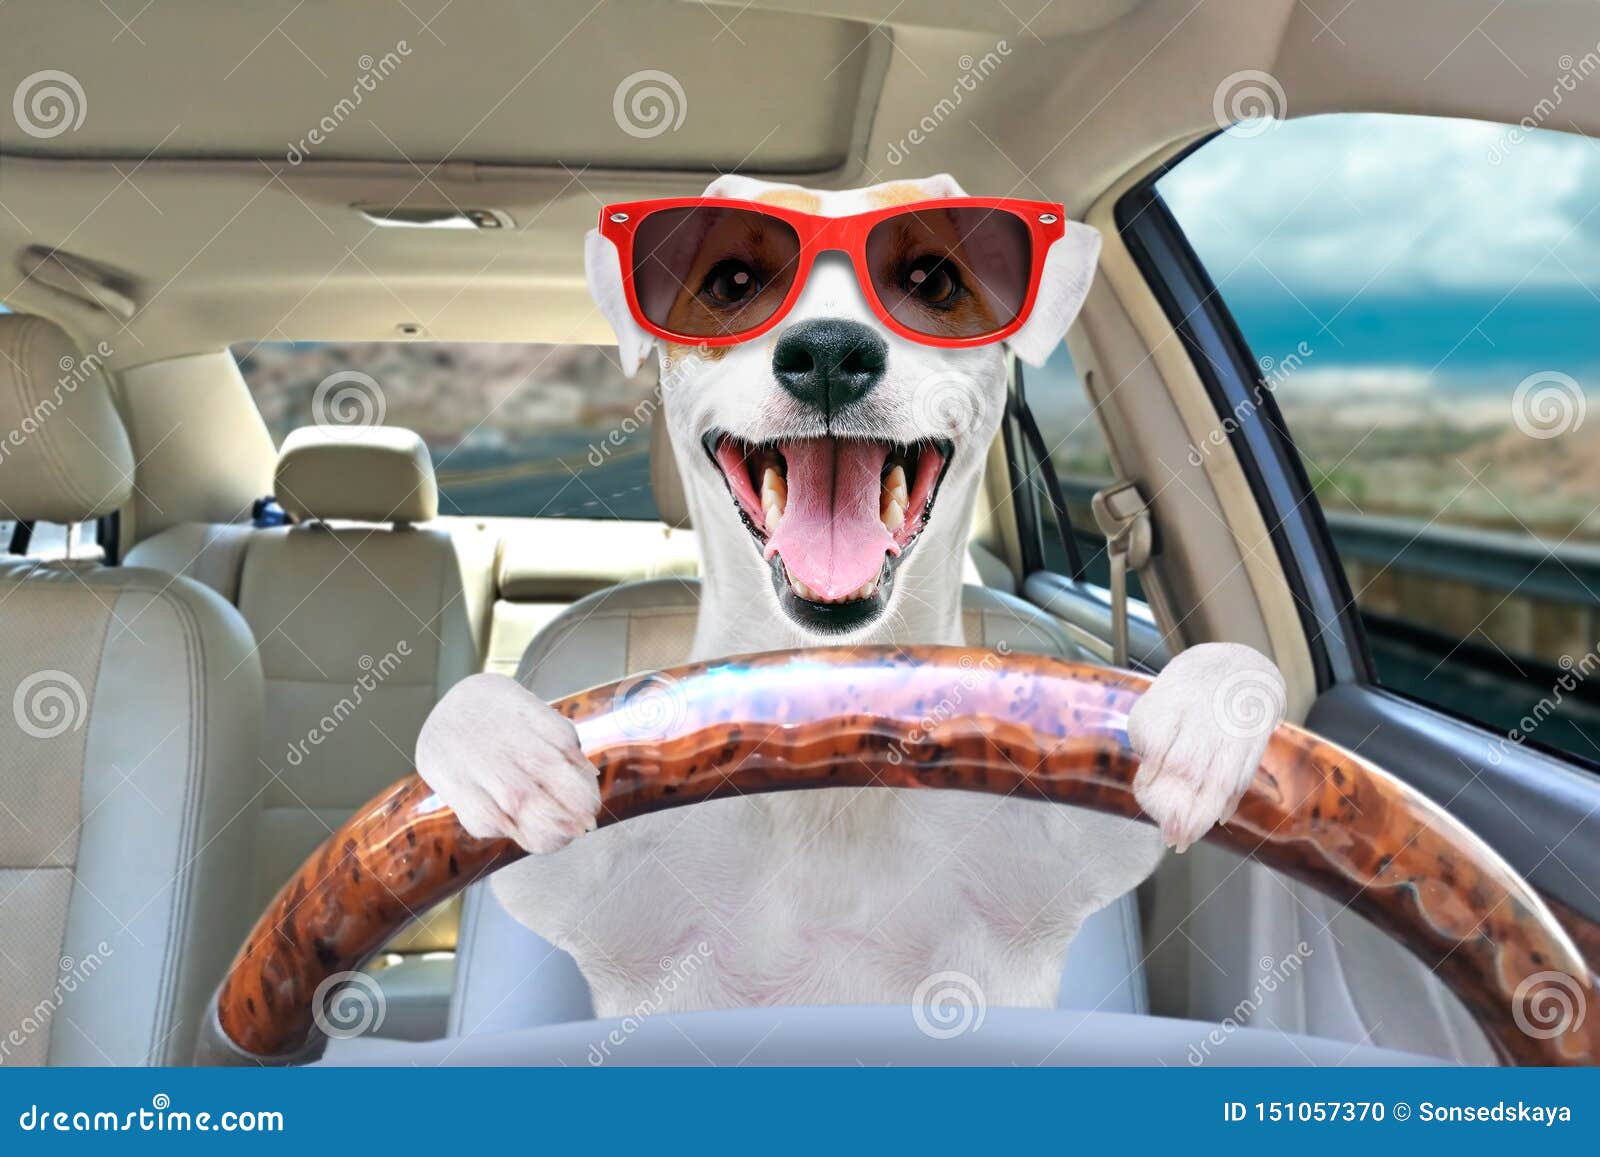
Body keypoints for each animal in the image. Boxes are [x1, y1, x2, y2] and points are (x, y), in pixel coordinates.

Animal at [416, 174, 1286, 1024]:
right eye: (734, 282)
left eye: (932, 280)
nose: (830, 351)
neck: (834, 697)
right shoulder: (582, 889)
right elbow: (454, 725)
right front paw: (501, 746)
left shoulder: (1078, 848)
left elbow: (1245, 666)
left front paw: (1207, 714)